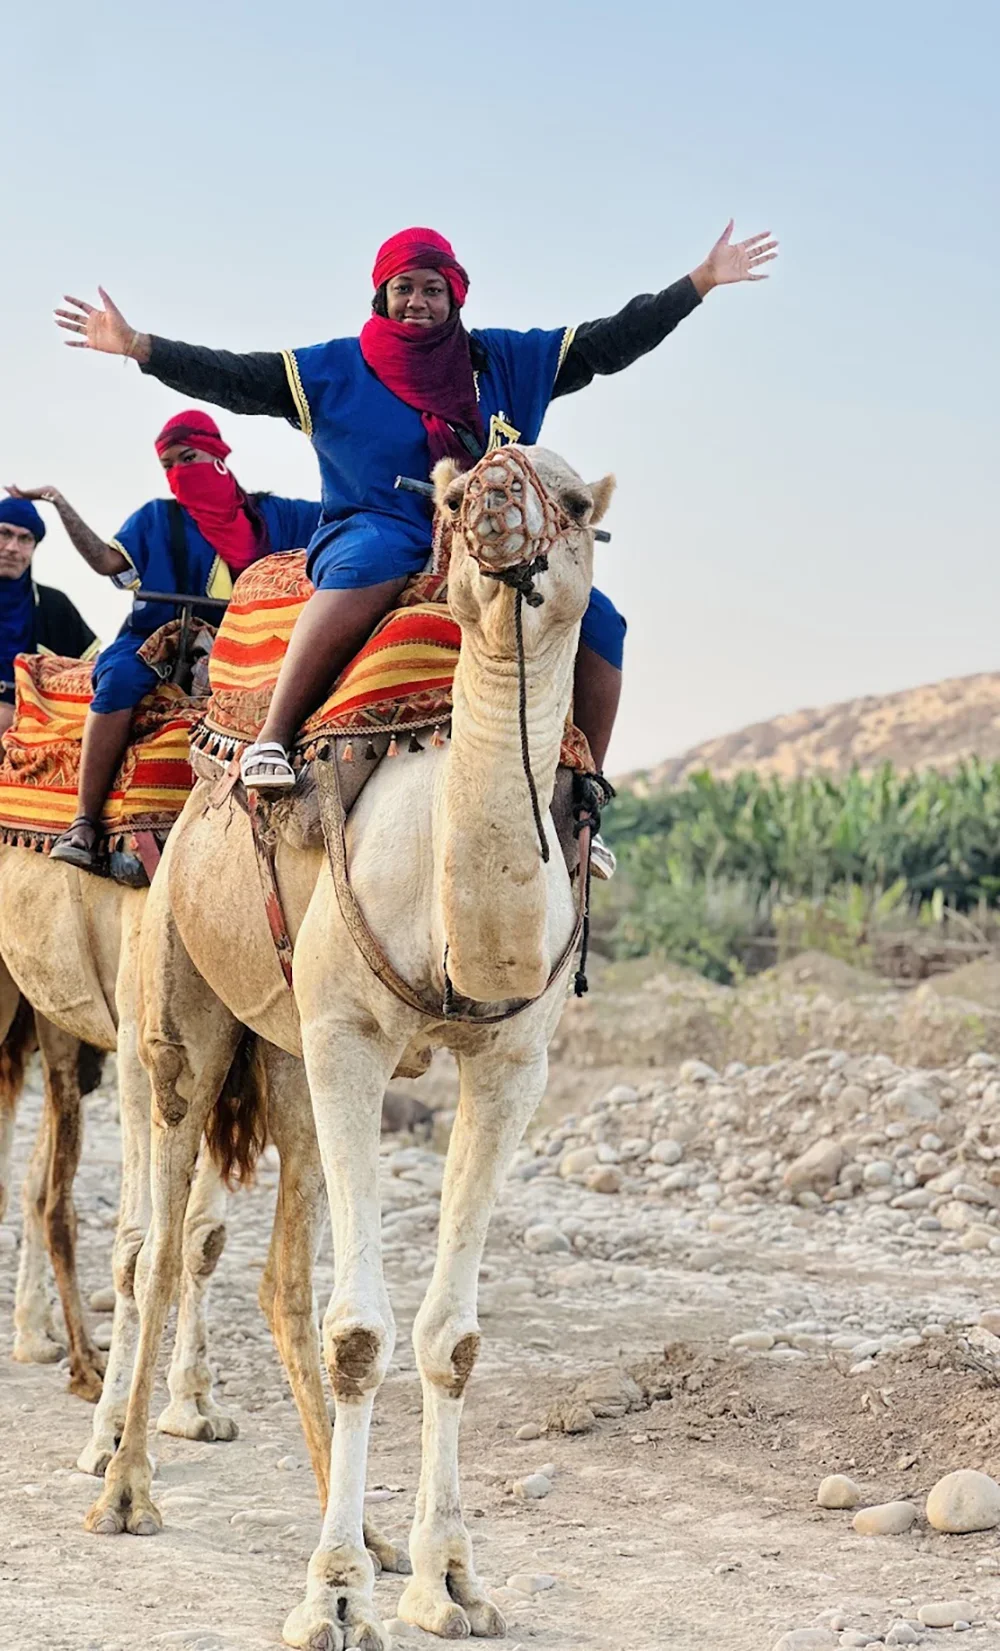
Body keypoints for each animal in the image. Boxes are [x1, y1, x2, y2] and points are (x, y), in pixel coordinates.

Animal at [88, 444, 613, 1650]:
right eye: (457, 493)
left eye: (571, 502)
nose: (489, 502)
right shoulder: (350, 1041)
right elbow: (360, 1337)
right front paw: (330, 1597)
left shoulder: (511, 1066)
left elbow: (450, 1338)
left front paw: (446, 1578)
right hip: (184, 1012)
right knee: (158, 1240)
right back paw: (126, 1487)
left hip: (285, 1060)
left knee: (280, 1272)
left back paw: (366, 1529)